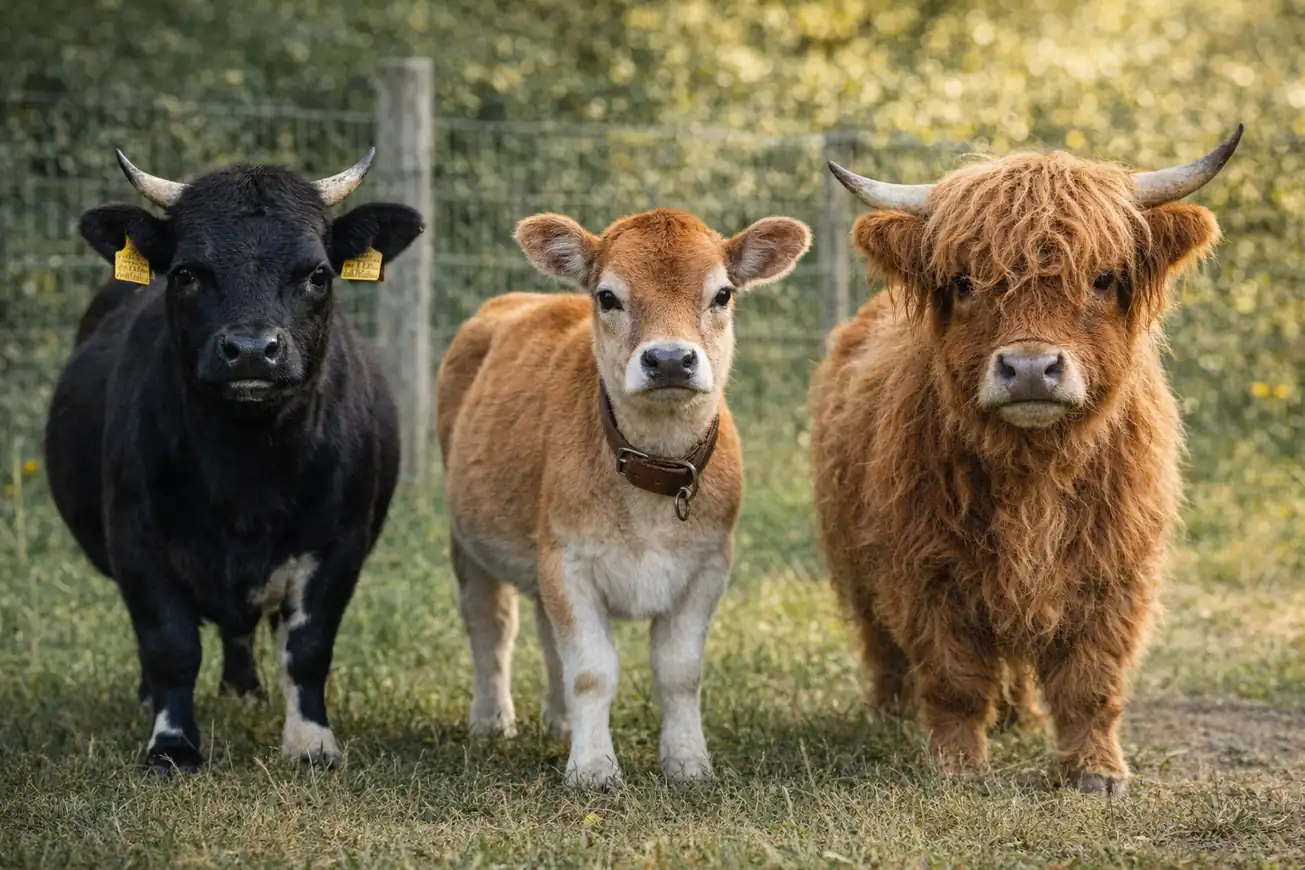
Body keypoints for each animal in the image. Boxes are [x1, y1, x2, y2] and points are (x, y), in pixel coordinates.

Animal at [44, 149, 424, 772]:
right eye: (186, 273)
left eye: (318, 274)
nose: (250, 350)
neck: (246, 481)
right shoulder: (136, 539)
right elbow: (169, 643)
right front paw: (171, 743)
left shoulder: (338, 542)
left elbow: (307, 646)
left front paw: (312, 742)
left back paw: (244, 690)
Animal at [436, 208, 811, 789]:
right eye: (608, 296)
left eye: (723, 294)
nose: (670, 359)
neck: (650, 488)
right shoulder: (567, 559)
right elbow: (592, 670)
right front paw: (593, 767)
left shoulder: (708, 565)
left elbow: (679, 671)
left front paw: (687, 761)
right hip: (467, 536)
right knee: (490, 623)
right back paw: (492, 720)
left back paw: (561, 722)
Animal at [811, 127, 1242, 795]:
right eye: (964, 283)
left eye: (1102, 278)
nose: (1033, 368)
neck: (1034, 475)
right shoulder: (925, 568)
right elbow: (954, 679)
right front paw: (957, 764)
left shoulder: (1114, 572)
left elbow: (1092, 681)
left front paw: (1096, 771)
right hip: (855, 555)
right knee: (881, 644)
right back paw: (889, 711)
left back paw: (1022, 714)